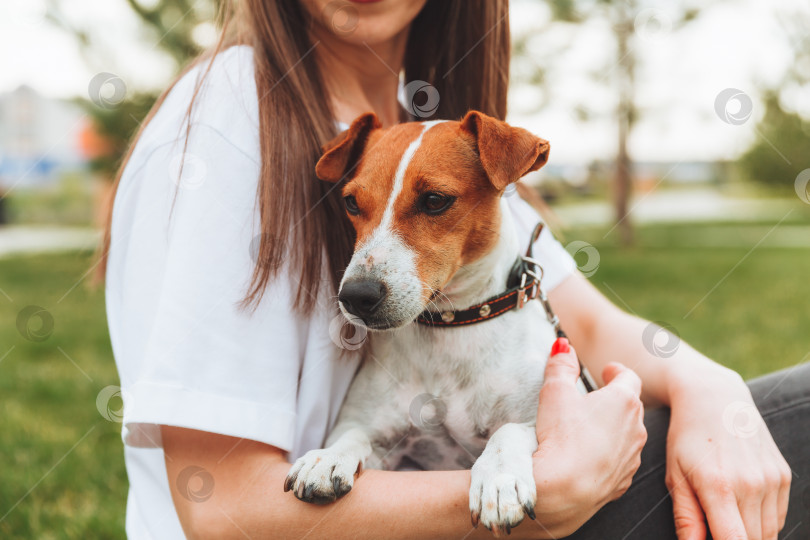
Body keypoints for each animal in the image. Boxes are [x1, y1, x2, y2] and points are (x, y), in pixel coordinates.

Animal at [284, 112, 580, 532]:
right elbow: (352, 435)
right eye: (351, 202)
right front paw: (327, 457)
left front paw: (499, 478)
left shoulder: (548, 419)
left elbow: (510, 430)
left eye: (435, 200)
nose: (356, 296)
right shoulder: (392, 450)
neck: (450, 326)